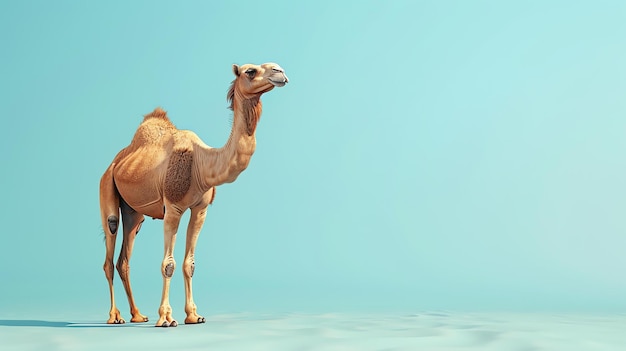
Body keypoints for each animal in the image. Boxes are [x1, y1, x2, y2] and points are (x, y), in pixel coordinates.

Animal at [99, 62, 288, 328]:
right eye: (250, 71)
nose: (280, 72)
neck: (202, 163)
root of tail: (115, 162)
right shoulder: (173, 209)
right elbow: (168, 264)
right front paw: (166, 318)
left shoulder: (200, 209)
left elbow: (190, 264)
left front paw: (193, 315)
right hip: (107, 188)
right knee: (110, 245)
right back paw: (114, 317)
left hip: (134, 212)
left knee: (123, 259)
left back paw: (137, 315)